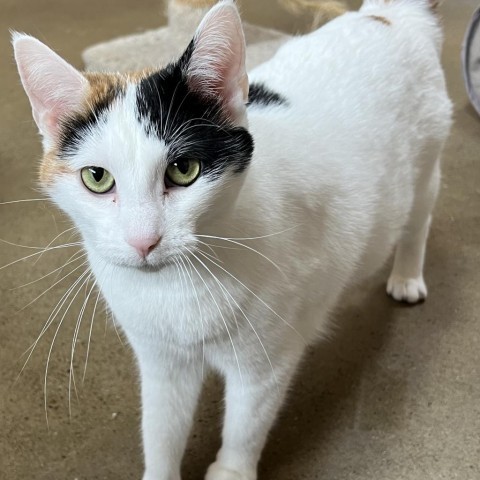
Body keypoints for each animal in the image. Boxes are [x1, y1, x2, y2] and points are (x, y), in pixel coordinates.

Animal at [13, 0, 452, 480]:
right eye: (97, 177)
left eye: (184, 169)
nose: (144, 241)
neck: (176, 289)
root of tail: (388, 14)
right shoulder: (162, 363)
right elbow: (161, 431)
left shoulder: (264, 366)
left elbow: (244, 428)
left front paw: (230, 470)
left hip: (427, 169)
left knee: (419, 222)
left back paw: (407, 276)